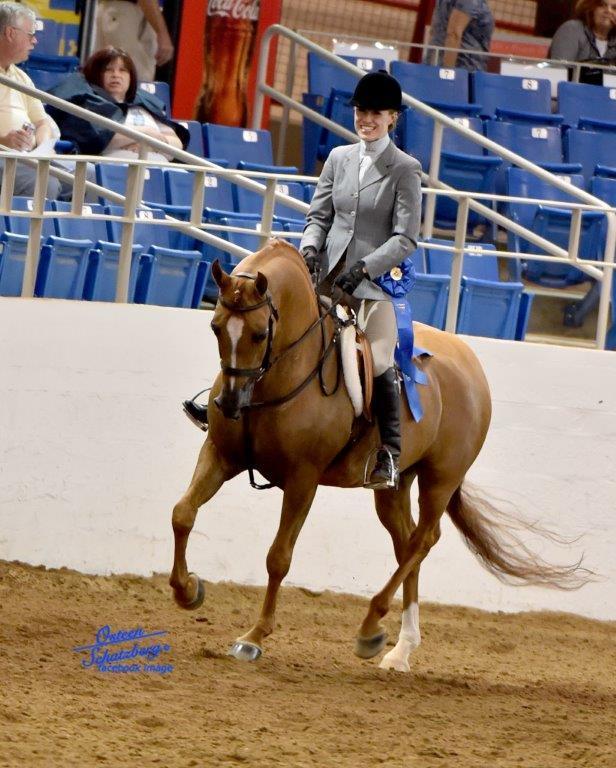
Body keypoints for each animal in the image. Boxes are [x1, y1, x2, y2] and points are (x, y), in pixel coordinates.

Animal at [169, 239, 584, 672]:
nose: (231, 404)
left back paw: (371, 625)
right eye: (216, 327)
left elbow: (279, 557)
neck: (277, 377)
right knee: (406, 541)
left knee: (423, 540)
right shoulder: (220, 455)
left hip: (440, 478)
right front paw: (188, 590)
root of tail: (470, 362)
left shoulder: (302, 479)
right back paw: (400, 648)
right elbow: (182, 513)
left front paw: (253, 637)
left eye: (258, 333)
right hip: (396, 484)